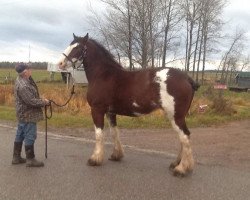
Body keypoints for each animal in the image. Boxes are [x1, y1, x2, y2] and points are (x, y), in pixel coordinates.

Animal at [56, 33, 199, 177]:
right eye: (70, 44)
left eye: (78, 47)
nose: (60, 63)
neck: (103, 75)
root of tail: (187, 78)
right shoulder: (110, 112)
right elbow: (114, 132)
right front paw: (116, 155)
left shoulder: (97, 110)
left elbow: (99, 134)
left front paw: (95, 159)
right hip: (176, 116)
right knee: (182, 138)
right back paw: (176, 163)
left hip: (176, 116)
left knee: (185, 136)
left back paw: (182, 168)